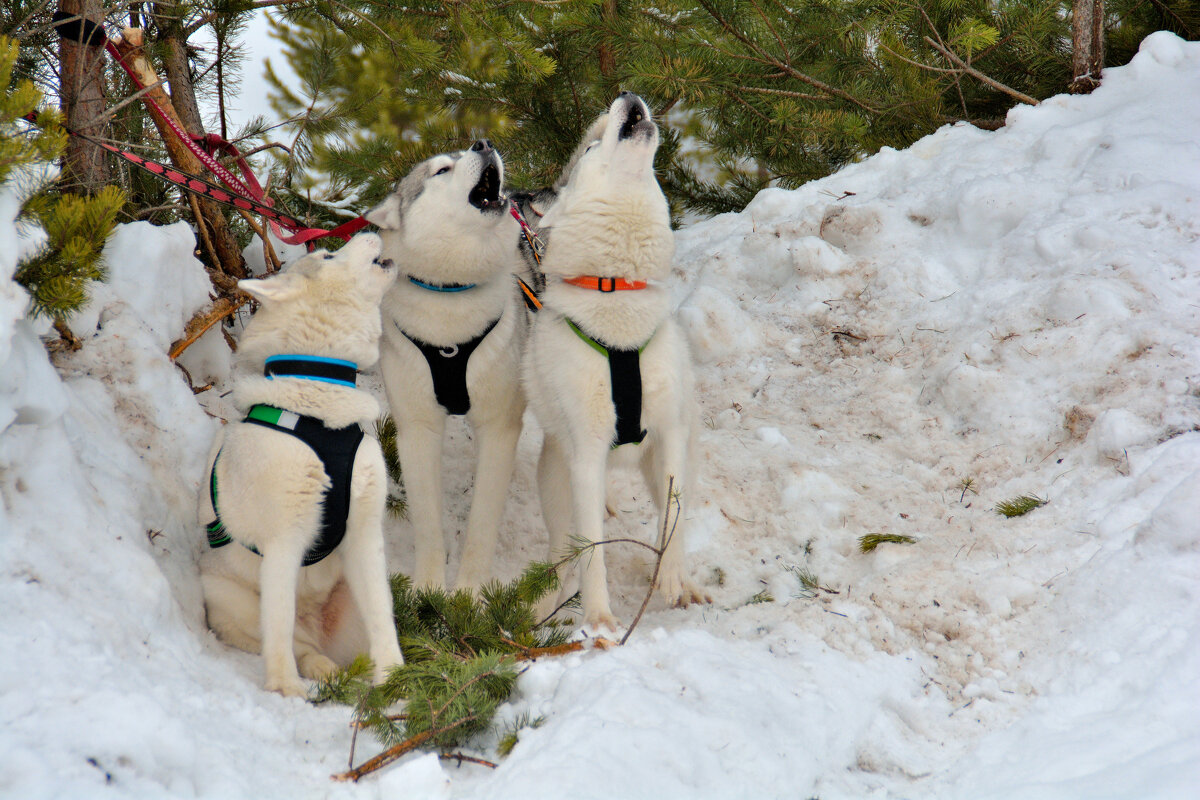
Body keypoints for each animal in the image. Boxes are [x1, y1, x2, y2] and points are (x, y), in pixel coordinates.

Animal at [196, 235, 403, 695]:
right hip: (231, 598)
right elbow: (278, 628)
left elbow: (384, 619)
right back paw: (316, 671)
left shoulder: (365, 534)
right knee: (295, 641)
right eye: (327, 255)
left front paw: (396, 679)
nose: (371, 231)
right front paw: (285, 689)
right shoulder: (283, 541)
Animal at [360, 139, 520, 587]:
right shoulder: (417, 430)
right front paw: (428, 589)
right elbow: (428, 524)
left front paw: (469, 592)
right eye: (441, 170)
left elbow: (482, 525)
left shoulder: (499, 428)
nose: (483, 142)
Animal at [525, 94, 710, 628]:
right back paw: (545, 602)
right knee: (562, 550)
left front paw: (671, 581)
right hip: (559, 477)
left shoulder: (670, 437)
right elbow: (592, 554)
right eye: (590, 149)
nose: (628, 97)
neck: (614, 285)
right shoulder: (586, 456)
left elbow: (670, 524)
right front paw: (600, 623)